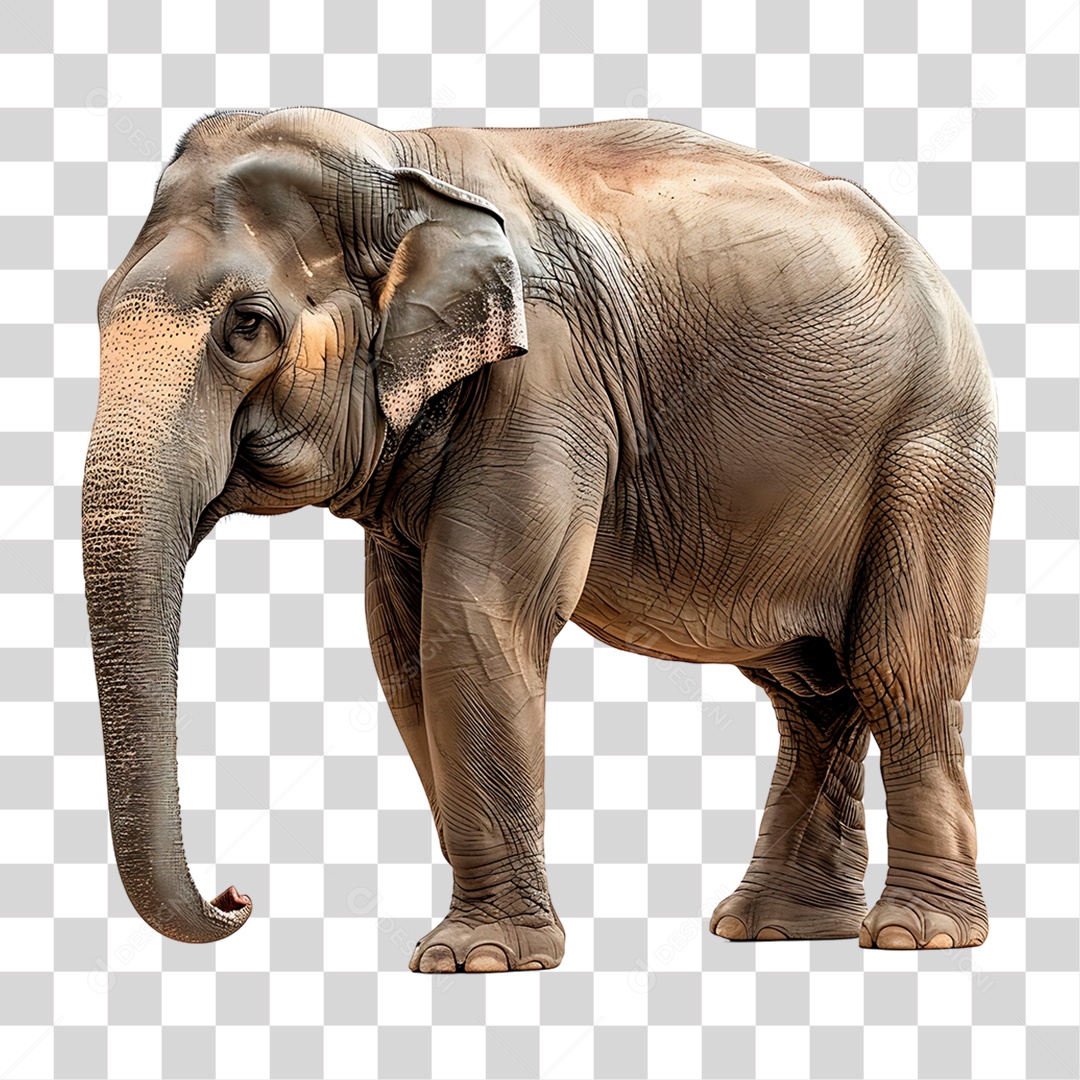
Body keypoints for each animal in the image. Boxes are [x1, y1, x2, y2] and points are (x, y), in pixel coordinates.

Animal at [83, 107, 997, 971]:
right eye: (97, 312)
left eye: (247, 327)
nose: (237, 896)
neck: (400, 159)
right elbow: (403, 652)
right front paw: (478, 943)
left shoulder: (546, 378)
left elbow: (474, 620)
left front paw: (476, 958)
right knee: (812, 691)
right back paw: (776, 928)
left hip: (930, 450)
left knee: (897, 668)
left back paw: (916, 936)